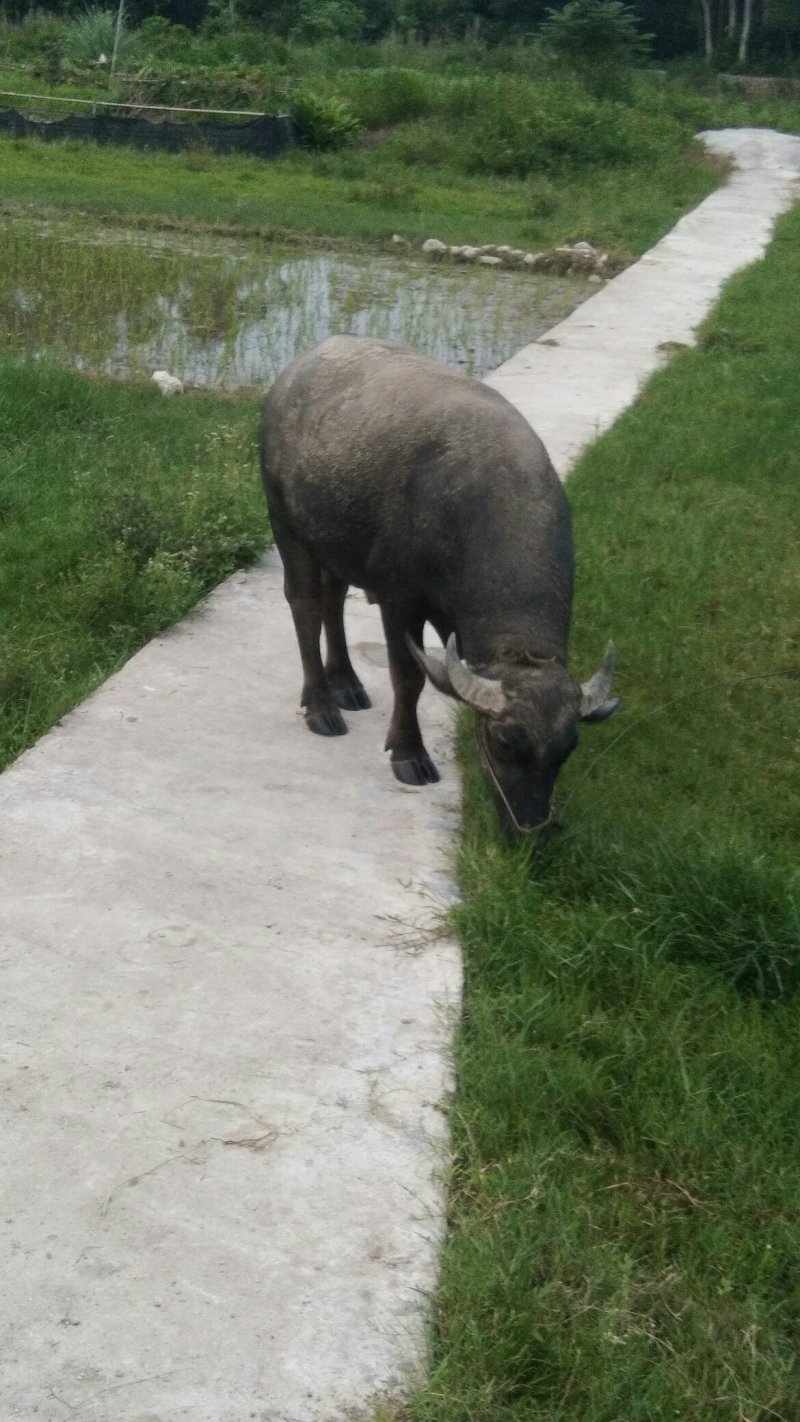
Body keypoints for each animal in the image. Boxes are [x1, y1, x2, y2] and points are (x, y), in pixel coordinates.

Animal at [260, 337, 622, 836]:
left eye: (567, 751)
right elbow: (409, 677)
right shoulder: (399, 601)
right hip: (288, 527)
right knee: (306, 605)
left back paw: (347, 685)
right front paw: (409, 754)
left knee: (333, 602)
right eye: (504, 742)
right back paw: (321, 706)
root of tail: (291, 375)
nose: (528, 830)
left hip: (335, 542)